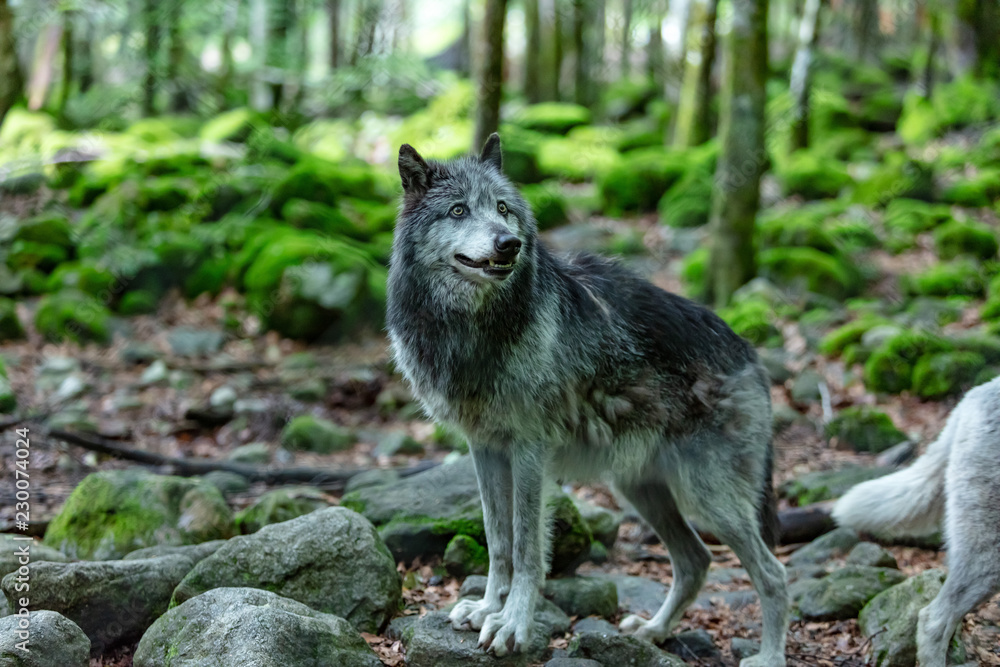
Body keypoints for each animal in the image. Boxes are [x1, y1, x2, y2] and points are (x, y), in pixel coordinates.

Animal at [386, 134, 789, 666]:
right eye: (457, 210)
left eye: (503, 209)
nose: (508, 243)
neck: (470, 330)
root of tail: (750, 352)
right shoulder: (484, 448)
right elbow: (498, 541)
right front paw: (486, 609)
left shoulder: (529, 451)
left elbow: (528, 549)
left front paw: (512, 625)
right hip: (640, 489)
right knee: (696, 560)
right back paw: (653, 631)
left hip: (708, 497)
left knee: (773, 574)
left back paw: (769, 656)